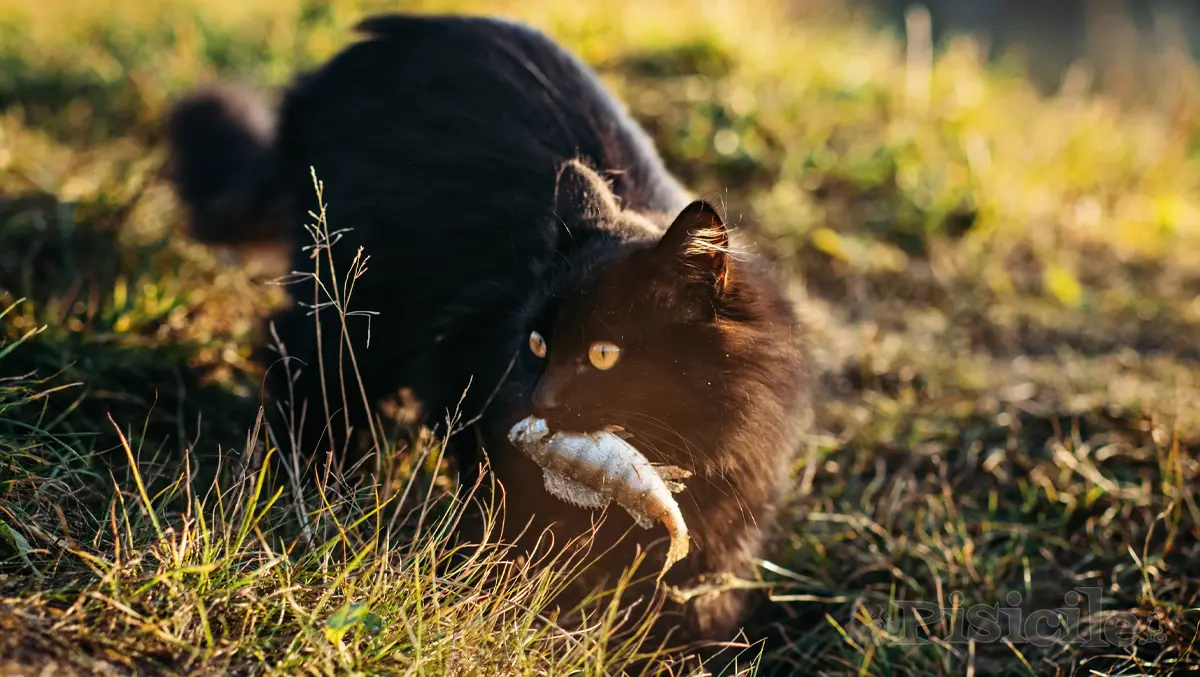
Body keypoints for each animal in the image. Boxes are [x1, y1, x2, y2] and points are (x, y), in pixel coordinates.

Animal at [162, 11, 816, 662]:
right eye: (537, 345)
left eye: (604, 355)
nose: (542, 400)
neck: (691, 444)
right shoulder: (468, 367)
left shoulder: (727, 518)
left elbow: (700, 598)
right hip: (353, 301)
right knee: (300, 361)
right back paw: (318, 476)